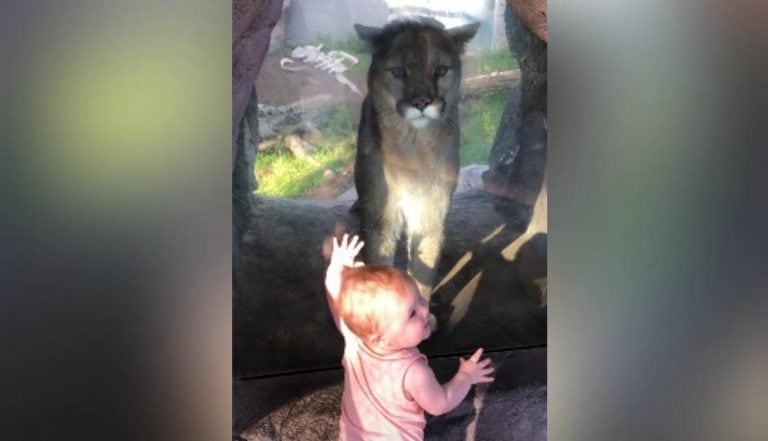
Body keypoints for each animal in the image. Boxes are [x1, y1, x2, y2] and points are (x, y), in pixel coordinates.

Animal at [354, 17, 480, 300]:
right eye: (399, 72)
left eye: (440, 70)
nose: (422, 101)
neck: (414, 147)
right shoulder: (381, 212)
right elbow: (380, 262)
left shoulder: (431, 208)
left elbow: (425, 265)